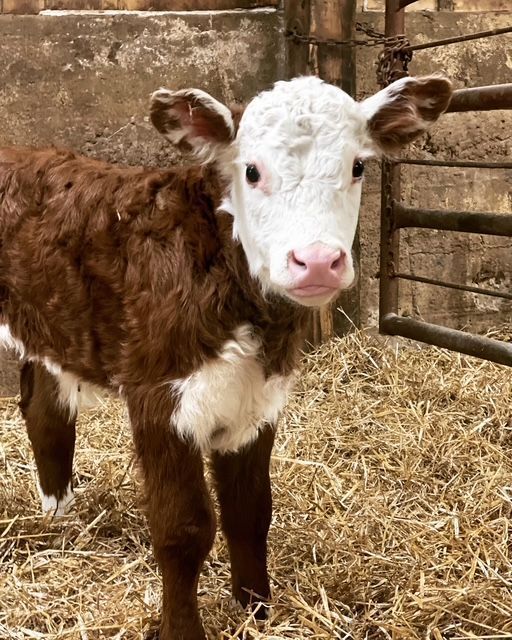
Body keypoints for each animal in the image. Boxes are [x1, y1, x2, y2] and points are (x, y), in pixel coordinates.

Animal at [0, 74, 452, 639]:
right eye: (251, 170)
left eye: (358, 166)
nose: (317, 261)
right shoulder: (160, 397)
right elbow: (184, 528)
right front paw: (183, 629)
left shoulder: (256, 401)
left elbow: (250, 511)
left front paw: (257, 611)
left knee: (46, 415)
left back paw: (59, 519)